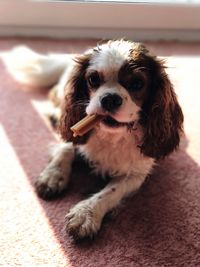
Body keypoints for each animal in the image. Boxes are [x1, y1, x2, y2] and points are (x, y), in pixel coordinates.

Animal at [1, 39, 184, 241]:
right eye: (93, 80)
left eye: (137, 83)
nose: (110, 98)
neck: (112, 135)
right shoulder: (75, 131)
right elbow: (65, 149)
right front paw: (53, 175)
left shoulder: (136, 173)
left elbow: (111, 192)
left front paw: (86, 213)